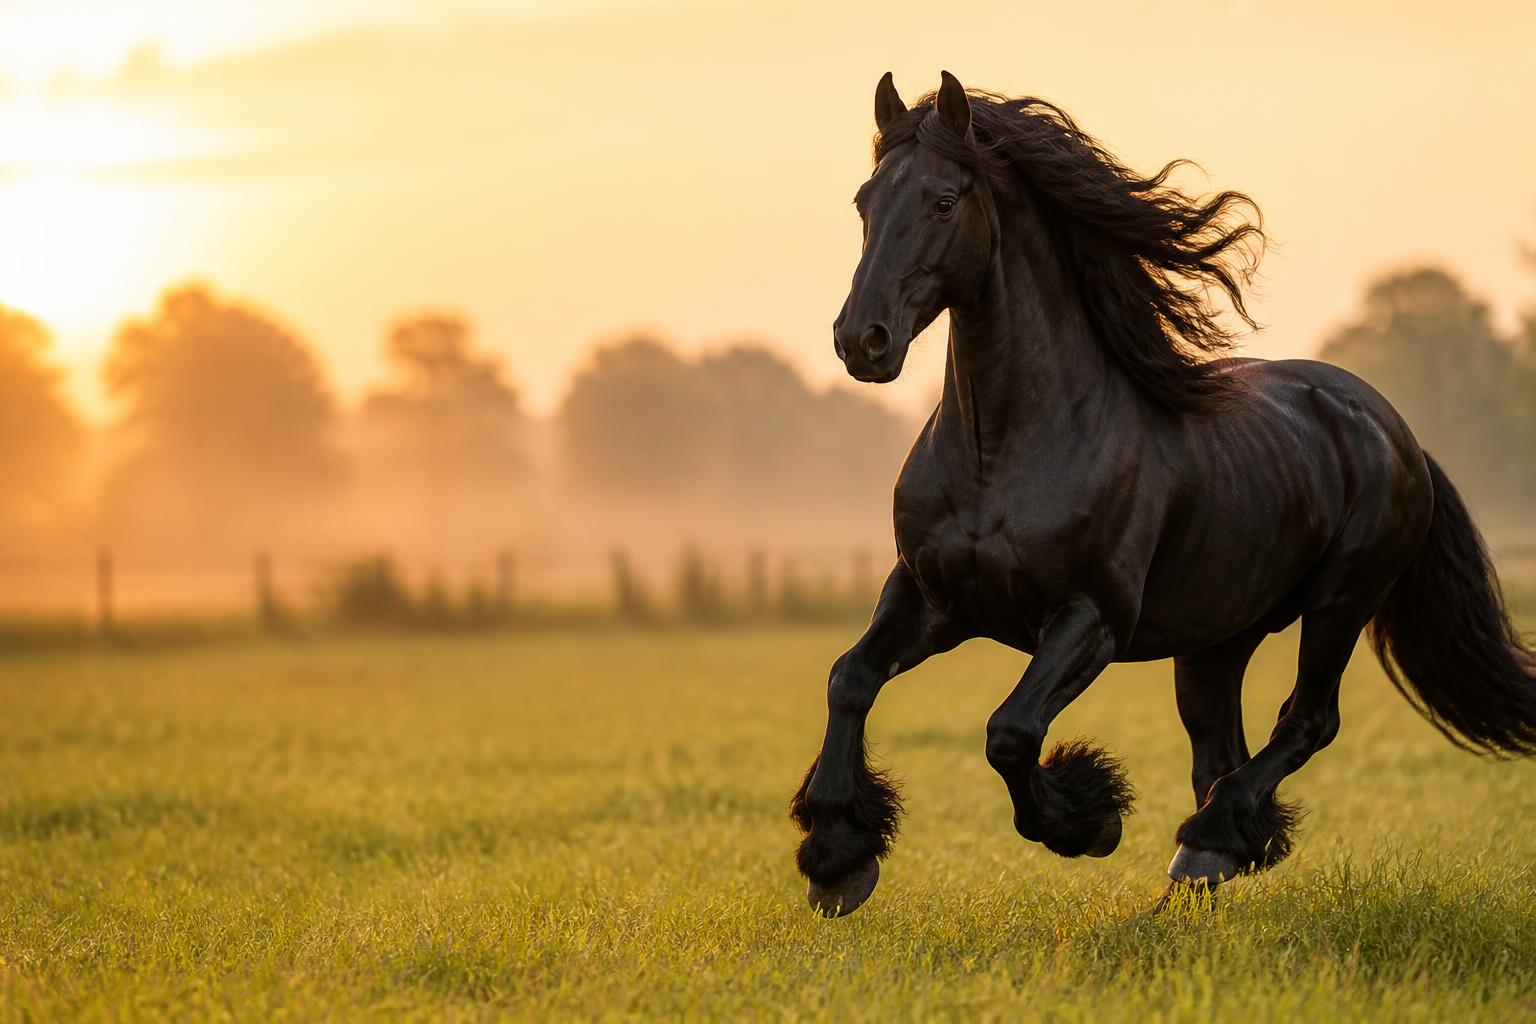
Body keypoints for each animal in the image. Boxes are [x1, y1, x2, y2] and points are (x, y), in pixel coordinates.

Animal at [789, 70, 1536, 916]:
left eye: (944, 200)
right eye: (864, 201)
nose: (862, 340)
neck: (1001, 450)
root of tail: (1392, 429)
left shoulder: (1092, 618)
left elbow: (1009, 732)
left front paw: (1088, 821)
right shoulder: (930, 596)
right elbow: (849, 679)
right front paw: (837, 855)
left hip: (1341, 602)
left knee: (1308, 720)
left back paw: (1208, 841)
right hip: (1217, 640)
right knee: (1220, 748)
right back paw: (1221, 855)